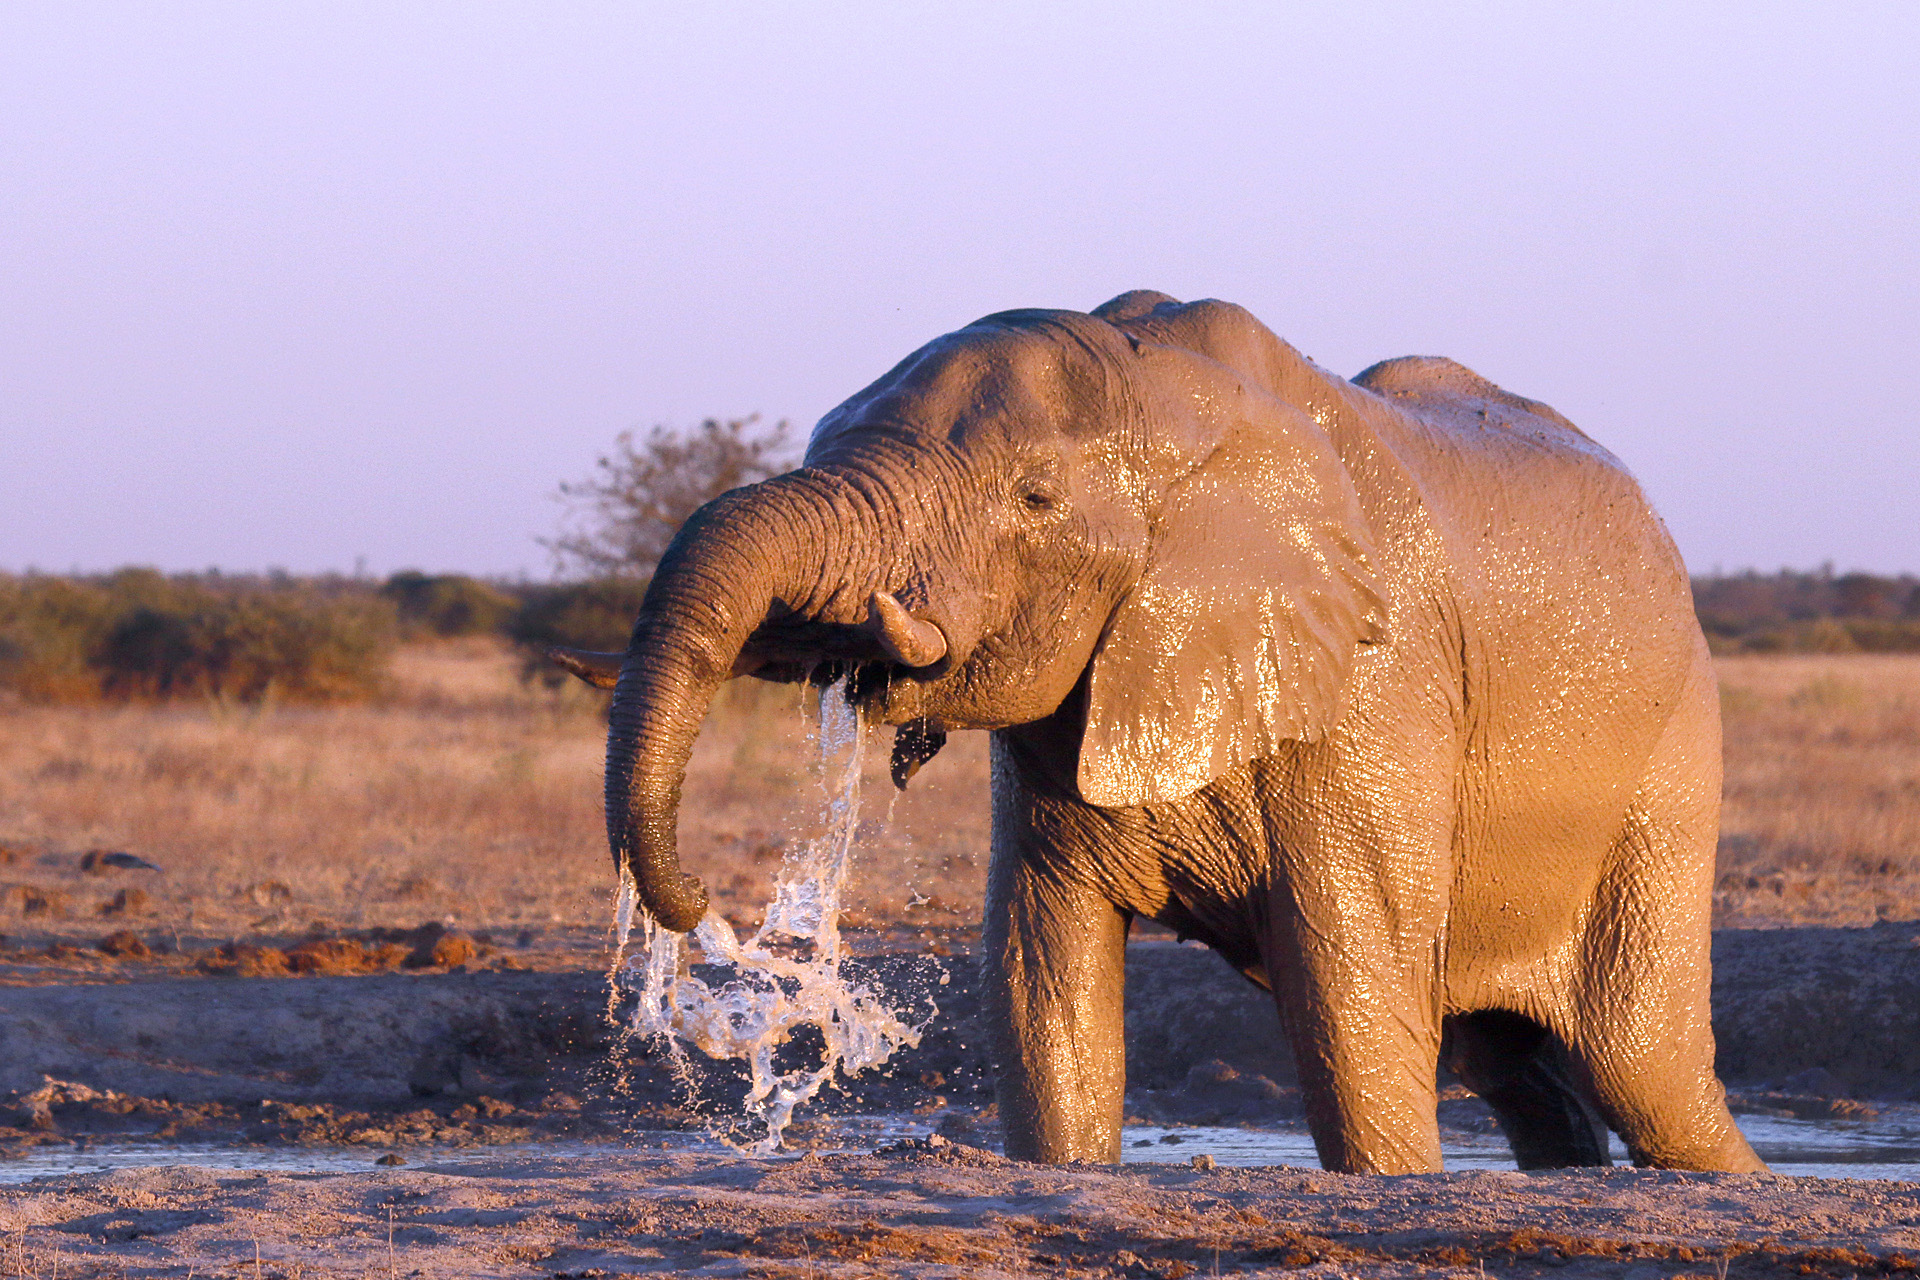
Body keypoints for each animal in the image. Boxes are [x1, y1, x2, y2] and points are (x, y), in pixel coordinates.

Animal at [560, 293, 1766, 1182]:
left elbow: (1351, 991)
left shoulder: (1379, 677)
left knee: (1642, 1063)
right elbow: (1043, 976)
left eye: (1036, 496)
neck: (1175, 395)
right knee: (1513, 1065)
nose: (702, 912)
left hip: (1671, 760)